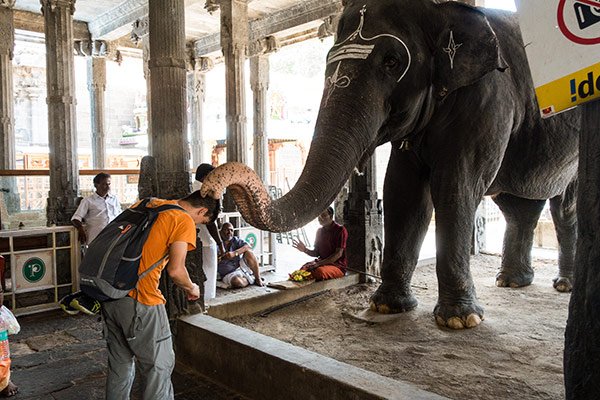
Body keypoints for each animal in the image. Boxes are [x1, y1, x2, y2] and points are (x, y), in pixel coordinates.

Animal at [203, 0, 580, 332]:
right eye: (328, 60)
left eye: (392, 61)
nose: (210, 188)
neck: (441, 9)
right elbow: (402, 189)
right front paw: (387, 306)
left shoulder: (488, 98)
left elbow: (456, 185)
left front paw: (460, 321)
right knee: (519, 207)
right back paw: (513, 281)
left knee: (565, 206)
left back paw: (563, 284)